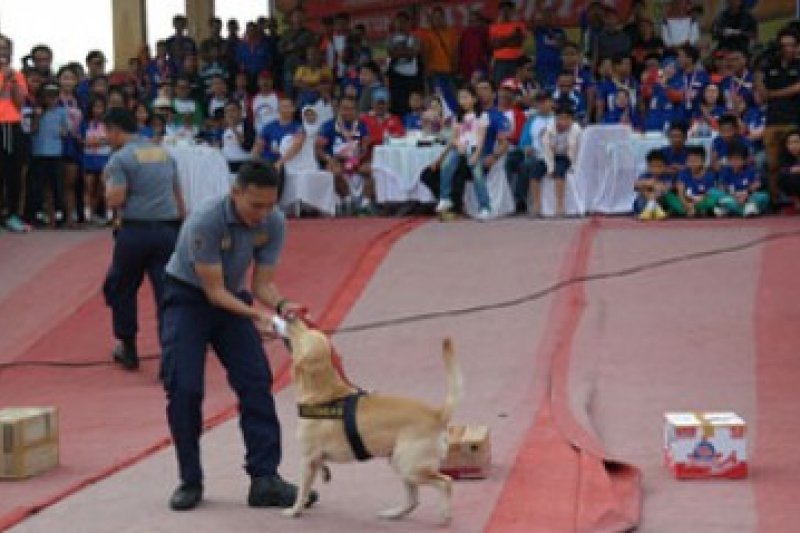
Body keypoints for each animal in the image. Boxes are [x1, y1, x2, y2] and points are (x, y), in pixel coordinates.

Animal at [276, 314, 462, 520]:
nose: (290, 316)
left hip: (411, 468)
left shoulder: (307, 459)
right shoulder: (315, 459)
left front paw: (295, 510)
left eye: (302, 335)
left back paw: (445, 514)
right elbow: (319, 470)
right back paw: (393, 514)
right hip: (400, 464)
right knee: (413, 500)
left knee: (445, 482)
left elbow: (303, 491)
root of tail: (437, 414)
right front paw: (324, 474)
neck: (323, 391)